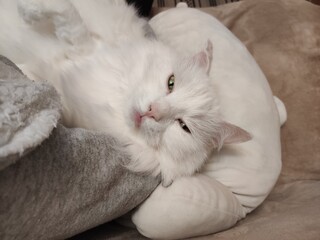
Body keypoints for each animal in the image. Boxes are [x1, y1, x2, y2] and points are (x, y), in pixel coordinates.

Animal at [0, 0, 252, 186]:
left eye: (183, 126)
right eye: (171, 83)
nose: (153, 111)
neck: (114, 102)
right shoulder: (88, 45)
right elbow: (67, 14)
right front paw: (28, 10)